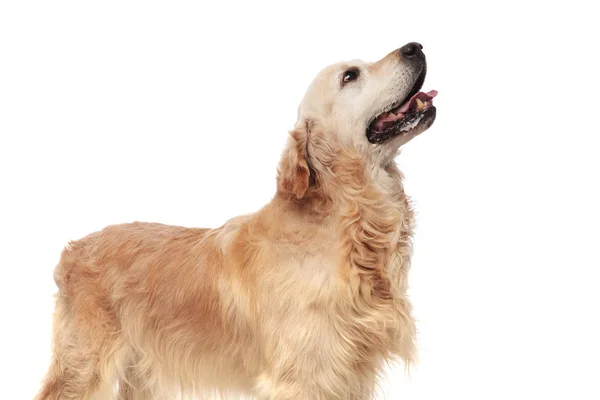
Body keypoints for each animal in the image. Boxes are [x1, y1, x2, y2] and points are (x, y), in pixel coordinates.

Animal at [38, 42, 436, 398]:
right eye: (350, 75)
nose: (415, 47)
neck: (347, 220)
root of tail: (72, 250)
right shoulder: (303, 376)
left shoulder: (351, 372)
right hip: (84, 364)